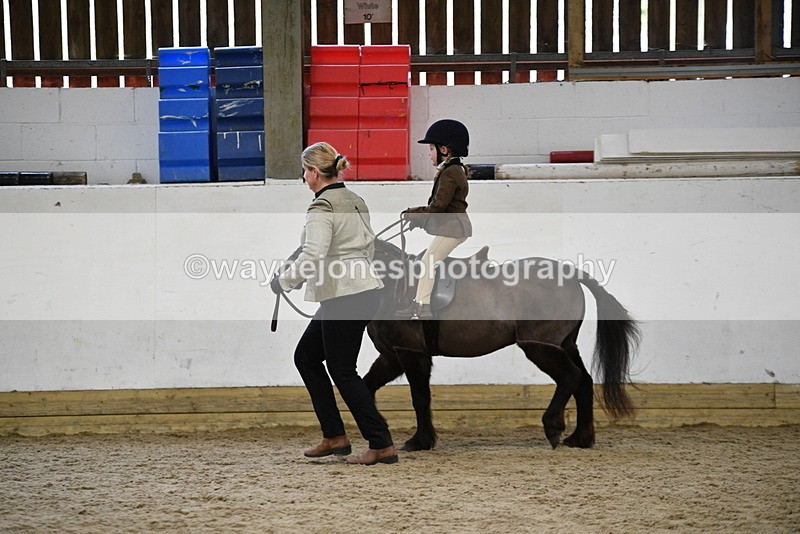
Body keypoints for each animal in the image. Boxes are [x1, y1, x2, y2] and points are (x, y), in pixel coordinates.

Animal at [363, 238, 640, 451]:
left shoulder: (410, 352)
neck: (392, 286)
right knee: (583, 382)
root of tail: (571, 275)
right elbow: (367, 387)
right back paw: (580, 438)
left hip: (539, 346)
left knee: (570, 377)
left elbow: (420, 397)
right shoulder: (391, 356)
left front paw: (419, 441)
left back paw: (553, 427)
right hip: (564, 344)